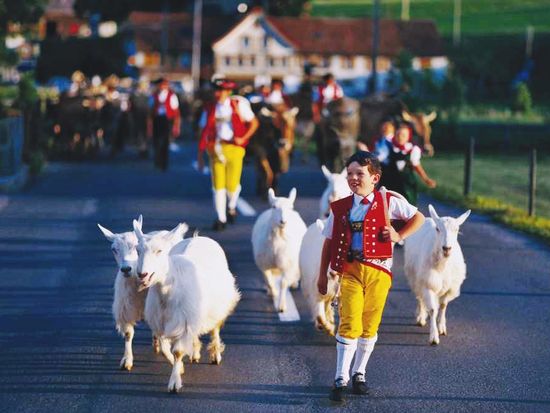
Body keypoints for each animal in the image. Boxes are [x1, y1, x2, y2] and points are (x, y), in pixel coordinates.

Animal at [135, 222, 240, 392]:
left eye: (160, 251)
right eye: (137, 250)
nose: (142, 274)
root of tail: (198, 237)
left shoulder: (183, 322)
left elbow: (177, 351)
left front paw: (174, 383)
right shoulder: (163, 323)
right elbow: (164, 349)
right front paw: (180, 368)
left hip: (217, 308)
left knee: (215, 330)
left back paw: (215, 355)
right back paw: (195, 353)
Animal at [404, 204, 472, 344]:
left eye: (457, 229)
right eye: (437, 229)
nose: (446, 249)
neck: (442, 266)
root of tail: (429, 218)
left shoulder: (450, 288)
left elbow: (443, 305)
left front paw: (441, 327)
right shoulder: (428, 284)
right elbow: (432, 309)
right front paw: (434, 337)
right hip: (417, 278)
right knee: (420, 298)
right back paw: (421, 318)